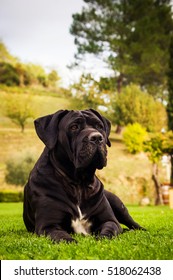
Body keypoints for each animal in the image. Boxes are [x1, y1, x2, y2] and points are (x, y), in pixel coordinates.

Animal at [23, 109, 144, 243]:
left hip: (118, 204)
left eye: (99, 126)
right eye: (74, 127)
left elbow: (109, 230)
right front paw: (72, 241)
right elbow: (62, 237)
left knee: (133, 223)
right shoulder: (47, 225)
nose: (97, 137)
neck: (79, 183)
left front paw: (101, 238)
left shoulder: (109, 220)